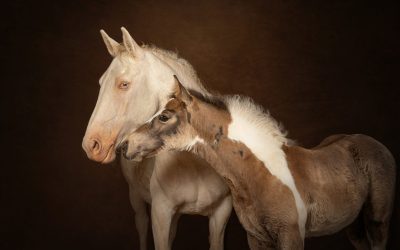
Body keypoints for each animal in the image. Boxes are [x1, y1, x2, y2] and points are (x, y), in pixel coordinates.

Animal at [81, 27, 233, 250]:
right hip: (136, 198)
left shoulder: (221, 213)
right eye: (101, 83)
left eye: (124, 84)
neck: (196, 164)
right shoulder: (160, 214)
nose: (91, 145)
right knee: (142, 225)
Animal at [120, 77, 396, 249]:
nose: (125, 145)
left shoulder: (291, 237)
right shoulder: (256, 238)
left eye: (165, 116)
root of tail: (375, 144)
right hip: (353, 225)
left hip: (378, 220)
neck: (261, 175)